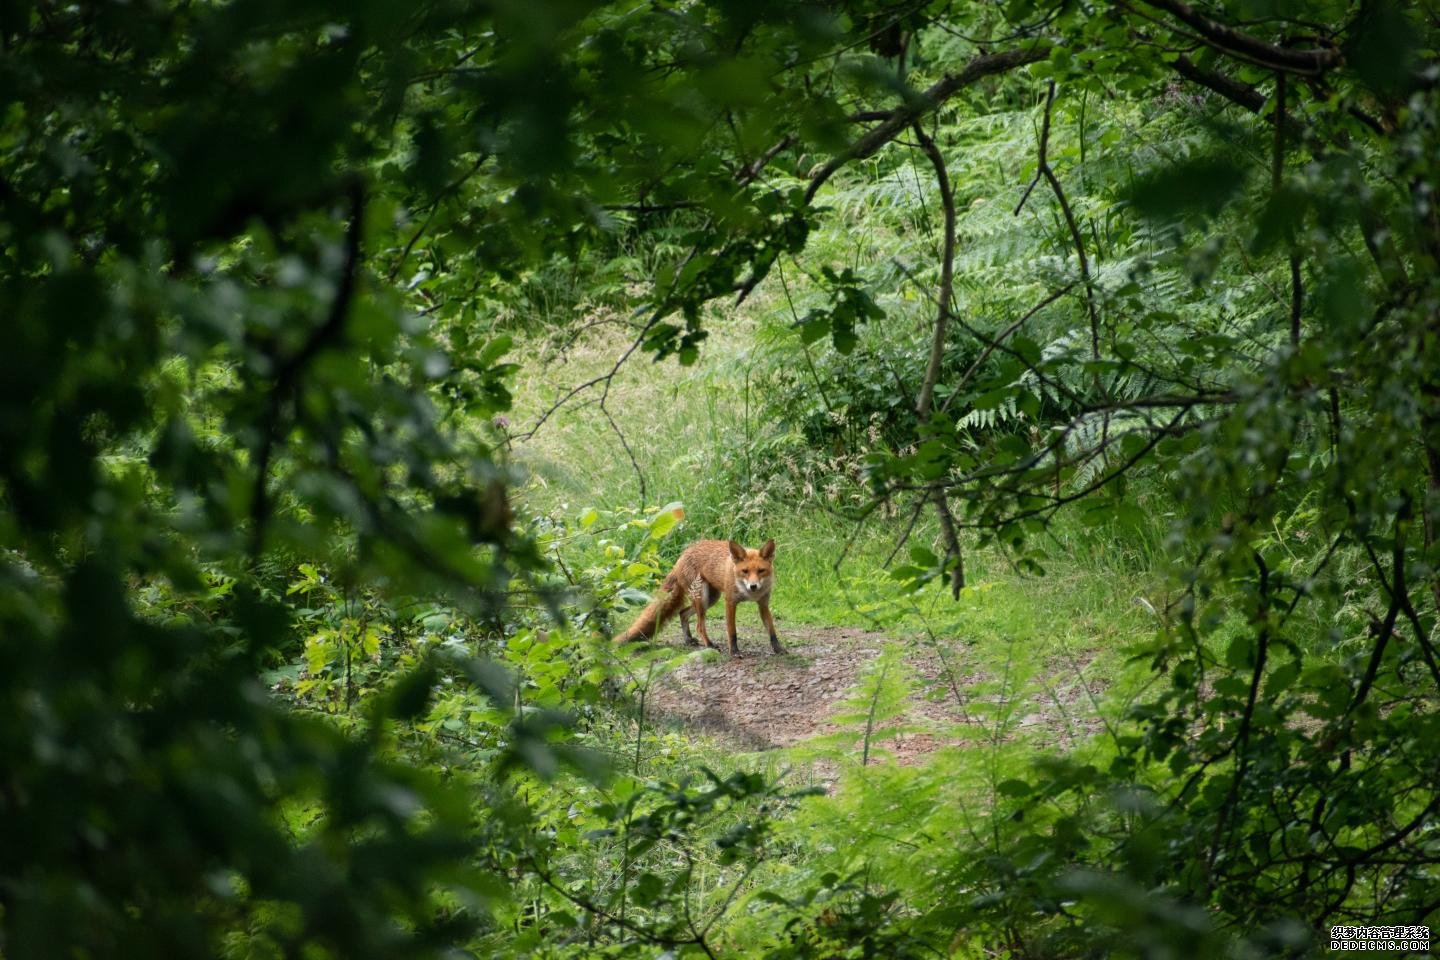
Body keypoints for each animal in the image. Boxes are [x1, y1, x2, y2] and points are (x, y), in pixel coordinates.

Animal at [613, 538, 783, 656]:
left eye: (761, 571)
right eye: (745, 571)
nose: (753, 586)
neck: (749, 594)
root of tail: (680, 557)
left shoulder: (763, 604)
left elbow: (772, 631)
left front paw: (779, 649)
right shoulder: (730, 602)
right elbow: (732, 632)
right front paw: (734, 652)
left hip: (710, 599)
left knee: (683, 613)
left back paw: (688, 639)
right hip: (702, 598)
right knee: (699, 626)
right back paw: (709, 644)